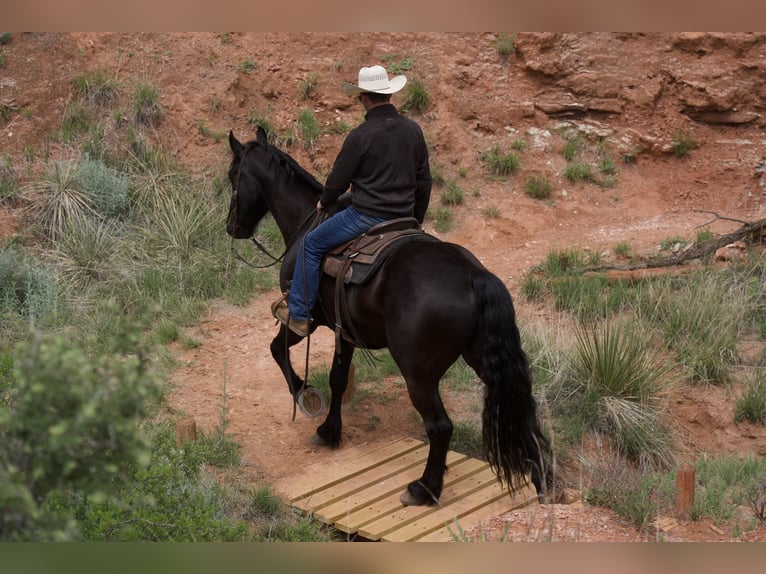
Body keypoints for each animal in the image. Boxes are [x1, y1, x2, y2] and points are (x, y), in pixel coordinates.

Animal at [226, 128, 552, 506]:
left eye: (232, 176)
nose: (232, 227)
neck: (306, 221)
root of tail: (476, 278)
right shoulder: (344, 330)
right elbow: (338, 378)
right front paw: (330, 432)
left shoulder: (304, 318)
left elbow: (277, 349)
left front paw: (304, 395)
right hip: (482, 359)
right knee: (522, 412)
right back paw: (542, 483)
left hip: (418, 374)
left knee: (440, 427)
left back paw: (424, 489)